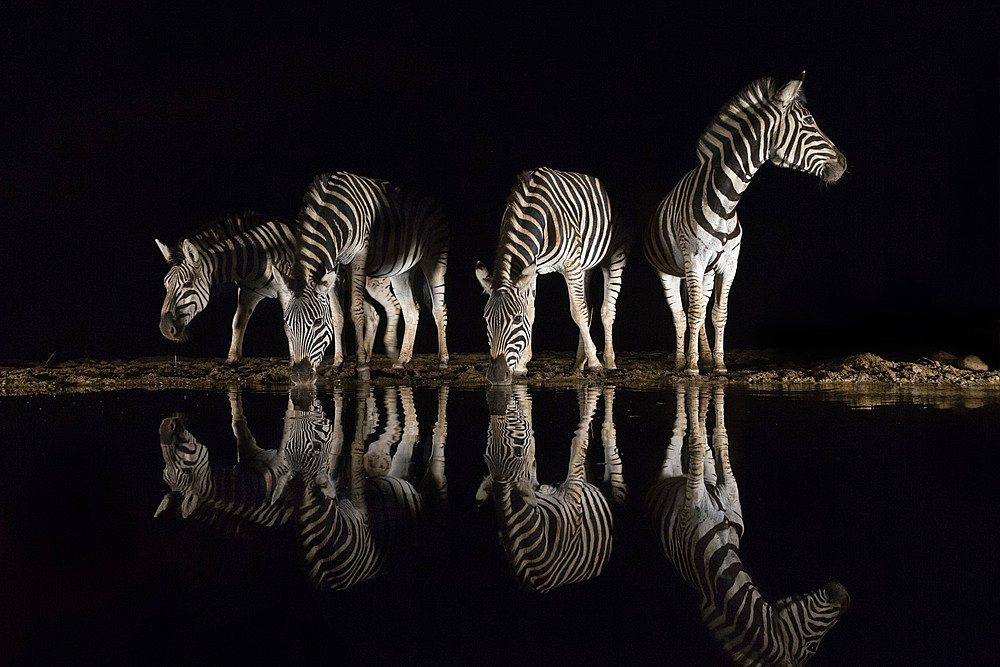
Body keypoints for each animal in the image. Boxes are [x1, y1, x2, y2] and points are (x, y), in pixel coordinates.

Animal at [272, 171, 448, 386]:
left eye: (317, 323)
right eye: (287, 323)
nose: (300, 377)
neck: (331, 214)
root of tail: (430, 199)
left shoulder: (358, 256)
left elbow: (355, 311)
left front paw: (362, 367)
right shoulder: (336, 267)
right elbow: (338, 316)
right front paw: (337, 364)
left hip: (435, 258)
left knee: (439, 308)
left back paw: (442, 362)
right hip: (402, 271)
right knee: (411, 310)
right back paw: (401, 361)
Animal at [474, 167, 628, 386]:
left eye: (516, 319)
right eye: (486, 319)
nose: (496, 376)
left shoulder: (570, 263)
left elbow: (577, 312)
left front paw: (595, 361)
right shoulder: (532, 270)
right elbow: (532, 312)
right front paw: (522, 364)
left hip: (614, 254)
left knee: (606, 310)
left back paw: (608, 361)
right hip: (584, 264)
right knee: (588, 306)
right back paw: (579, 363)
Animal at [474, 386, 616, 596]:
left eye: (517, 450)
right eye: (486, 456)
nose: (499, 410)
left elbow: (576, 441)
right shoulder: (571, 499)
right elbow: (575, 444)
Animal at [644, 74, 848, 376]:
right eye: (809, 121)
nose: (844, 163)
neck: (726, 202)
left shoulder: (729, 263)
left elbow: (718, 314)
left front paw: (718, 365)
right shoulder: (695, 258)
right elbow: (692, 314)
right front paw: (691, 367)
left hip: (706, 272)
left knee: (697, 310)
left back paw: (704, 358)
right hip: (669, 271)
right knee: (681, 315)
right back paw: (682, 361)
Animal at [644, 386, 848, 664]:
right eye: (813, 648)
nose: (846, 596)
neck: (720, 550)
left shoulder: (727, 491)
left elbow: (718, 440)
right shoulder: (692, 506)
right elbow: (699, 442)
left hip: (703, 478)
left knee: (705, 447)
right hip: (670, 469)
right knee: (681, 433)